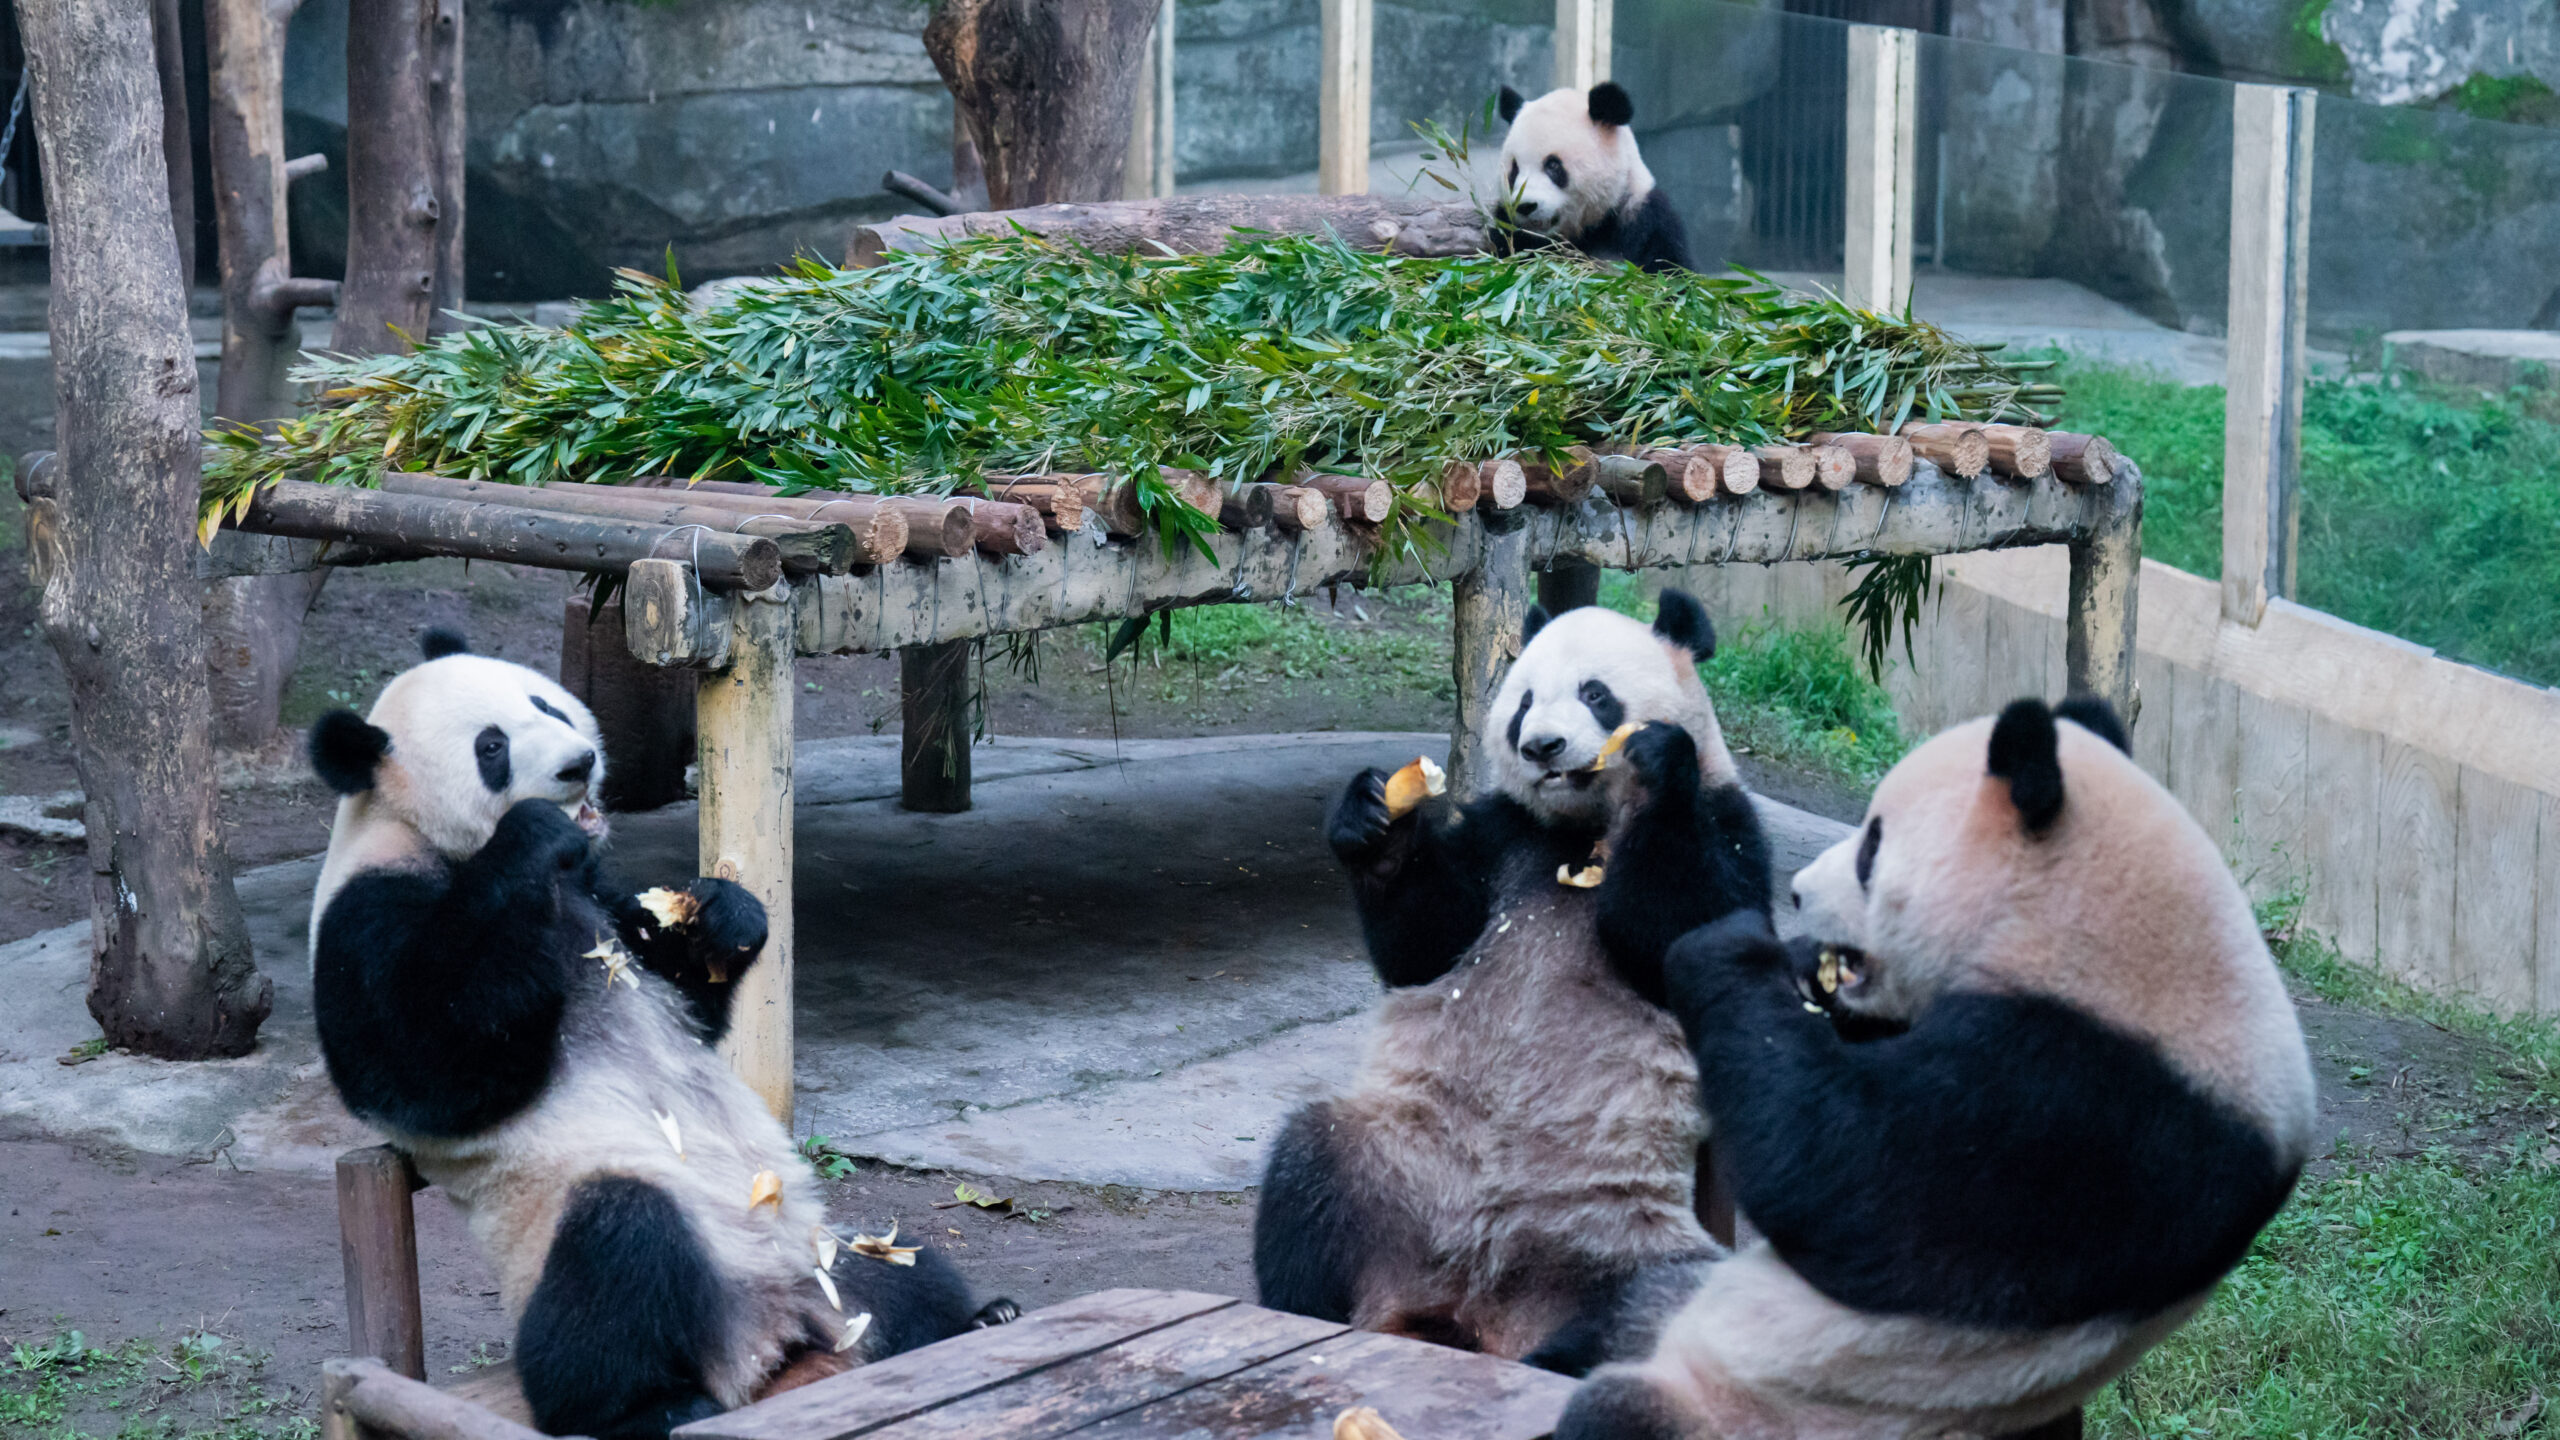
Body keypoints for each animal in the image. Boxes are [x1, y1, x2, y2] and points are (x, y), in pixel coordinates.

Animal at [307, 627, 1008, 1434]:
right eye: (491, 747)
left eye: (546, 704)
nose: (579, 762)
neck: (422, 832)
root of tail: (774, 1351)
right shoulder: (370, 910)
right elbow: (423, 1064)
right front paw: (529, 838)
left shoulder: (598, 891)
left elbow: (683, 990)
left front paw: (724, 915)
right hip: (580, 1228)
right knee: (613, 1267)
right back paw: (653, 1405)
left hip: (816, 1253)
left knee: (903, 1275)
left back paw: (981, 1317)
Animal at [1249, 591, 1771, 1363]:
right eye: (1524, 703)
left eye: (1595, 694)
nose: (1542, 748)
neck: (1577, 830)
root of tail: (1475, 1311)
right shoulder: (1501, 832)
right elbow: (1427, 942)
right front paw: (1375, 822)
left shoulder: (1733, 823)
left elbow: (1688, 925)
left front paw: (1656, 762)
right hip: (1397, 1163)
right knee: (1307, 1175)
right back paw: (1307, 1312)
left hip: (1612, 1229)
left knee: (1653, 1302)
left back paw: (1560, 1353)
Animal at [1495, 82, 1699, 272]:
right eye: (1514, 170)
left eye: (1553, 165)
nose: (1525, 206)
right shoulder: (1508, 226)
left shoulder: (1646, 221)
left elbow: (1667, 267)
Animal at [1556, 696, 2324, 1434]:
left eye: (1872, 845)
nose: (1797, 892)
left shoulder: (2087, 1103)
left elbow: (1843, 1180)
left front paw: (1731, 946)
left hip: (1753, 1405)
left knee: (1619, 1411)